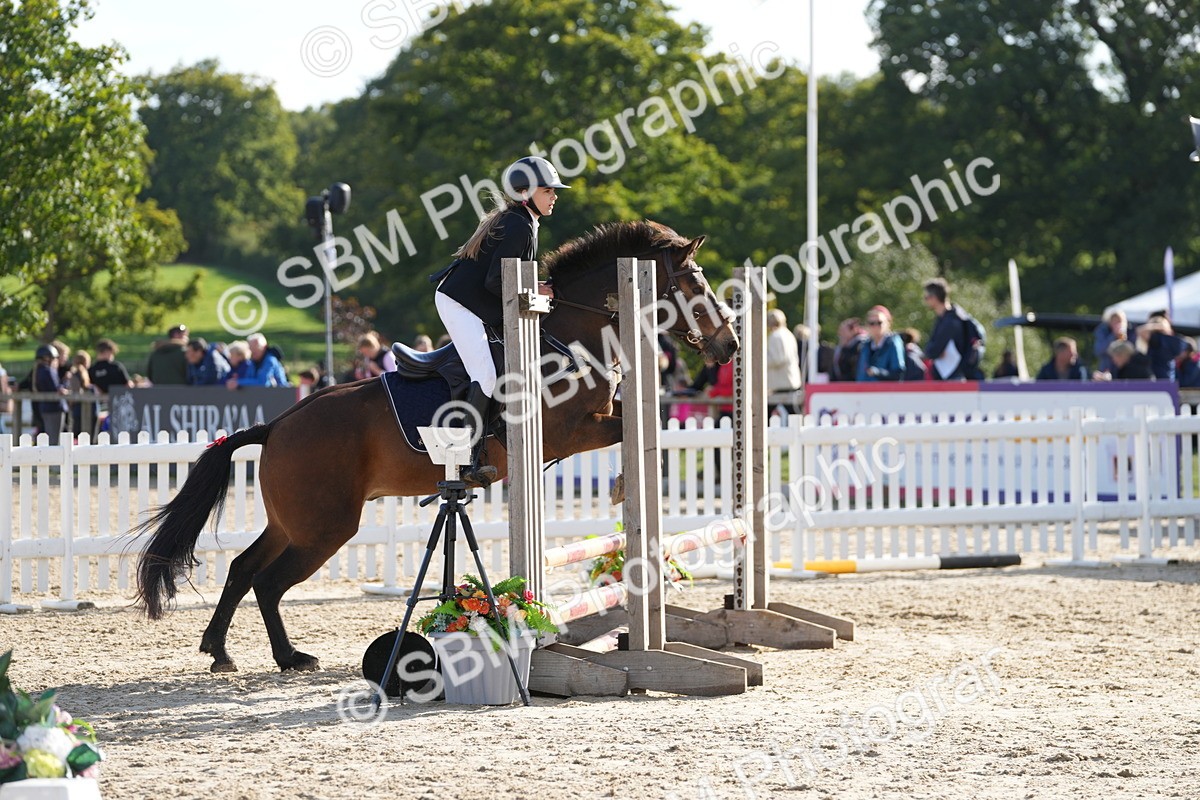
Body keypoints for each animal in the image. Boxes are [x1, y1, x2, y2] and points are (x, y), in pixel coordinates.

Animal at [133, 220, 740, 673]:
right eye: (694, 285)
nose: (729, 344)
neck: (568, 334)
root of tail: (277, 425)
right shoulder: (567, 431)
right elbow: (630, 429)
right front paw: (620, 485)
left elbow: (636, 421)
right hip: (325, 526)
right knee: (267, 581)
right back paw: (288, 657)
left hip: (294, 522)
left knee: (242, 569)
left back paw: (220, 652)